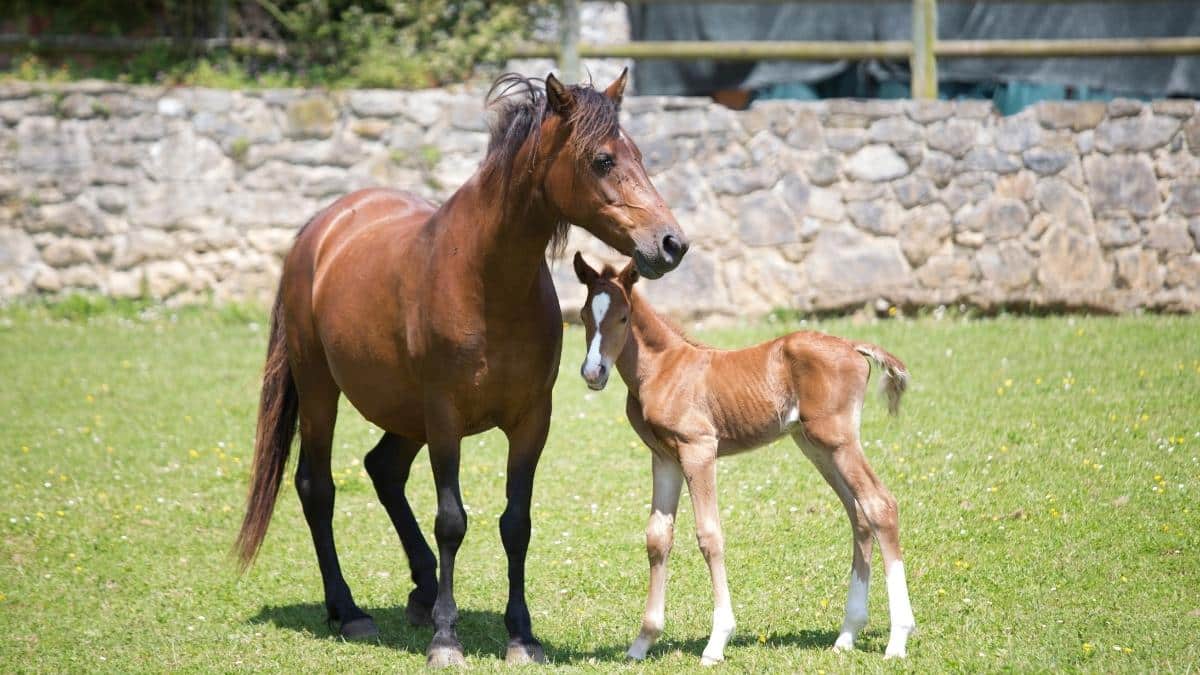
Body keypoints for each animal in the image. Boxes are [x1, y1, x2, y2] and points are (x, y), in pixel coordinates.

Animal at [571, 253, 916, 662]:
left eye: (623, 317)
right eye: (585, 315)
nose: (593, 372)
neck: (663, 369)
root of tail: (852, 345)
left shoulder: (698, 449)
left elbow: (709, 535)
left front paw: (717, 640)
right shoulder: (664, 457)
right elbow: (657, 537)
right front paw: (643, 641)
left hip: (838, 441)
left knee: (880, 505)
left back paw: (898, 638)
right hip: (816, 446)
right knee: (858, 514)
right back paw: (847, 635)